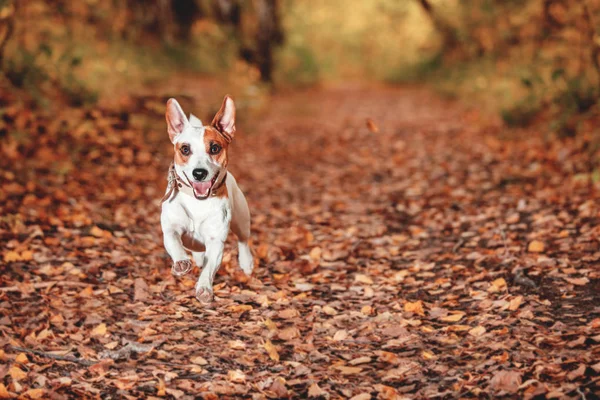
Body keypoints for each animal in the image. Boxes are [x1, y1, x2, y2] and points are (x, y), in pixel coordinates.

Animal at [161, 96, 252, 304]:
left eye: (215, 148)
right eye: (185, 149)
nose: (199, 173)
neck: (198, 202)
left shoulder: (215, 241)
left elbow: (209, 269)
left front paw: (204, 288)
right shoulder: (170, 229)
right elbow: (175, 243)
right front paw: (181, 262)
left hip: (241, 220)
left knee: (243, 240)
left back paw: (246, 262)